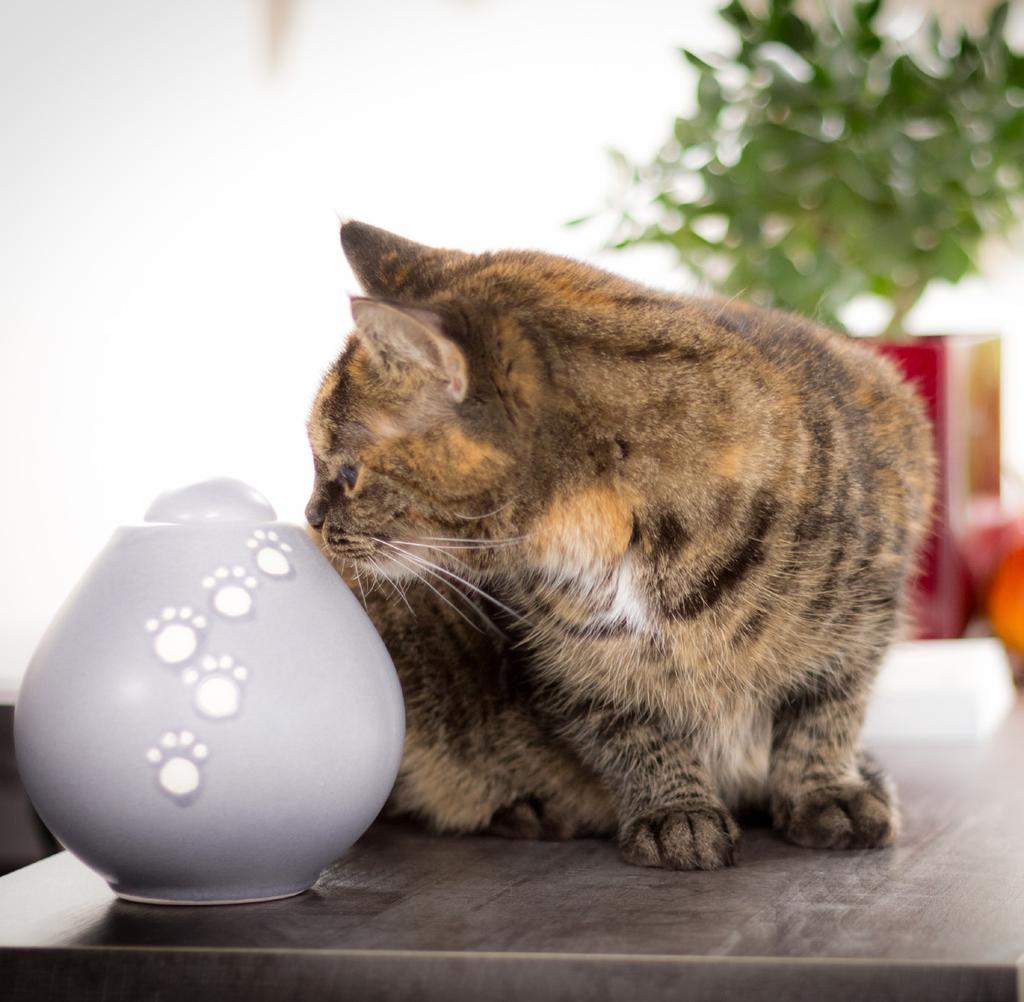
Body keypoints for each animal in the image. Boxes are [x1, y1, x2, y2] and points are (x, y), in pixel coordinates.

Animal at [301, 219, 937, 867]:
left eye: (346, 472)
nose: (311, 517)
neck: (619, 536)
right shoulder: (572, 672)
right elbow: (632, 733)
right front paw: (677, 811)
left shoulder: (870, 606)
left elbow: (827, 712)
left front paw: (826, 791)